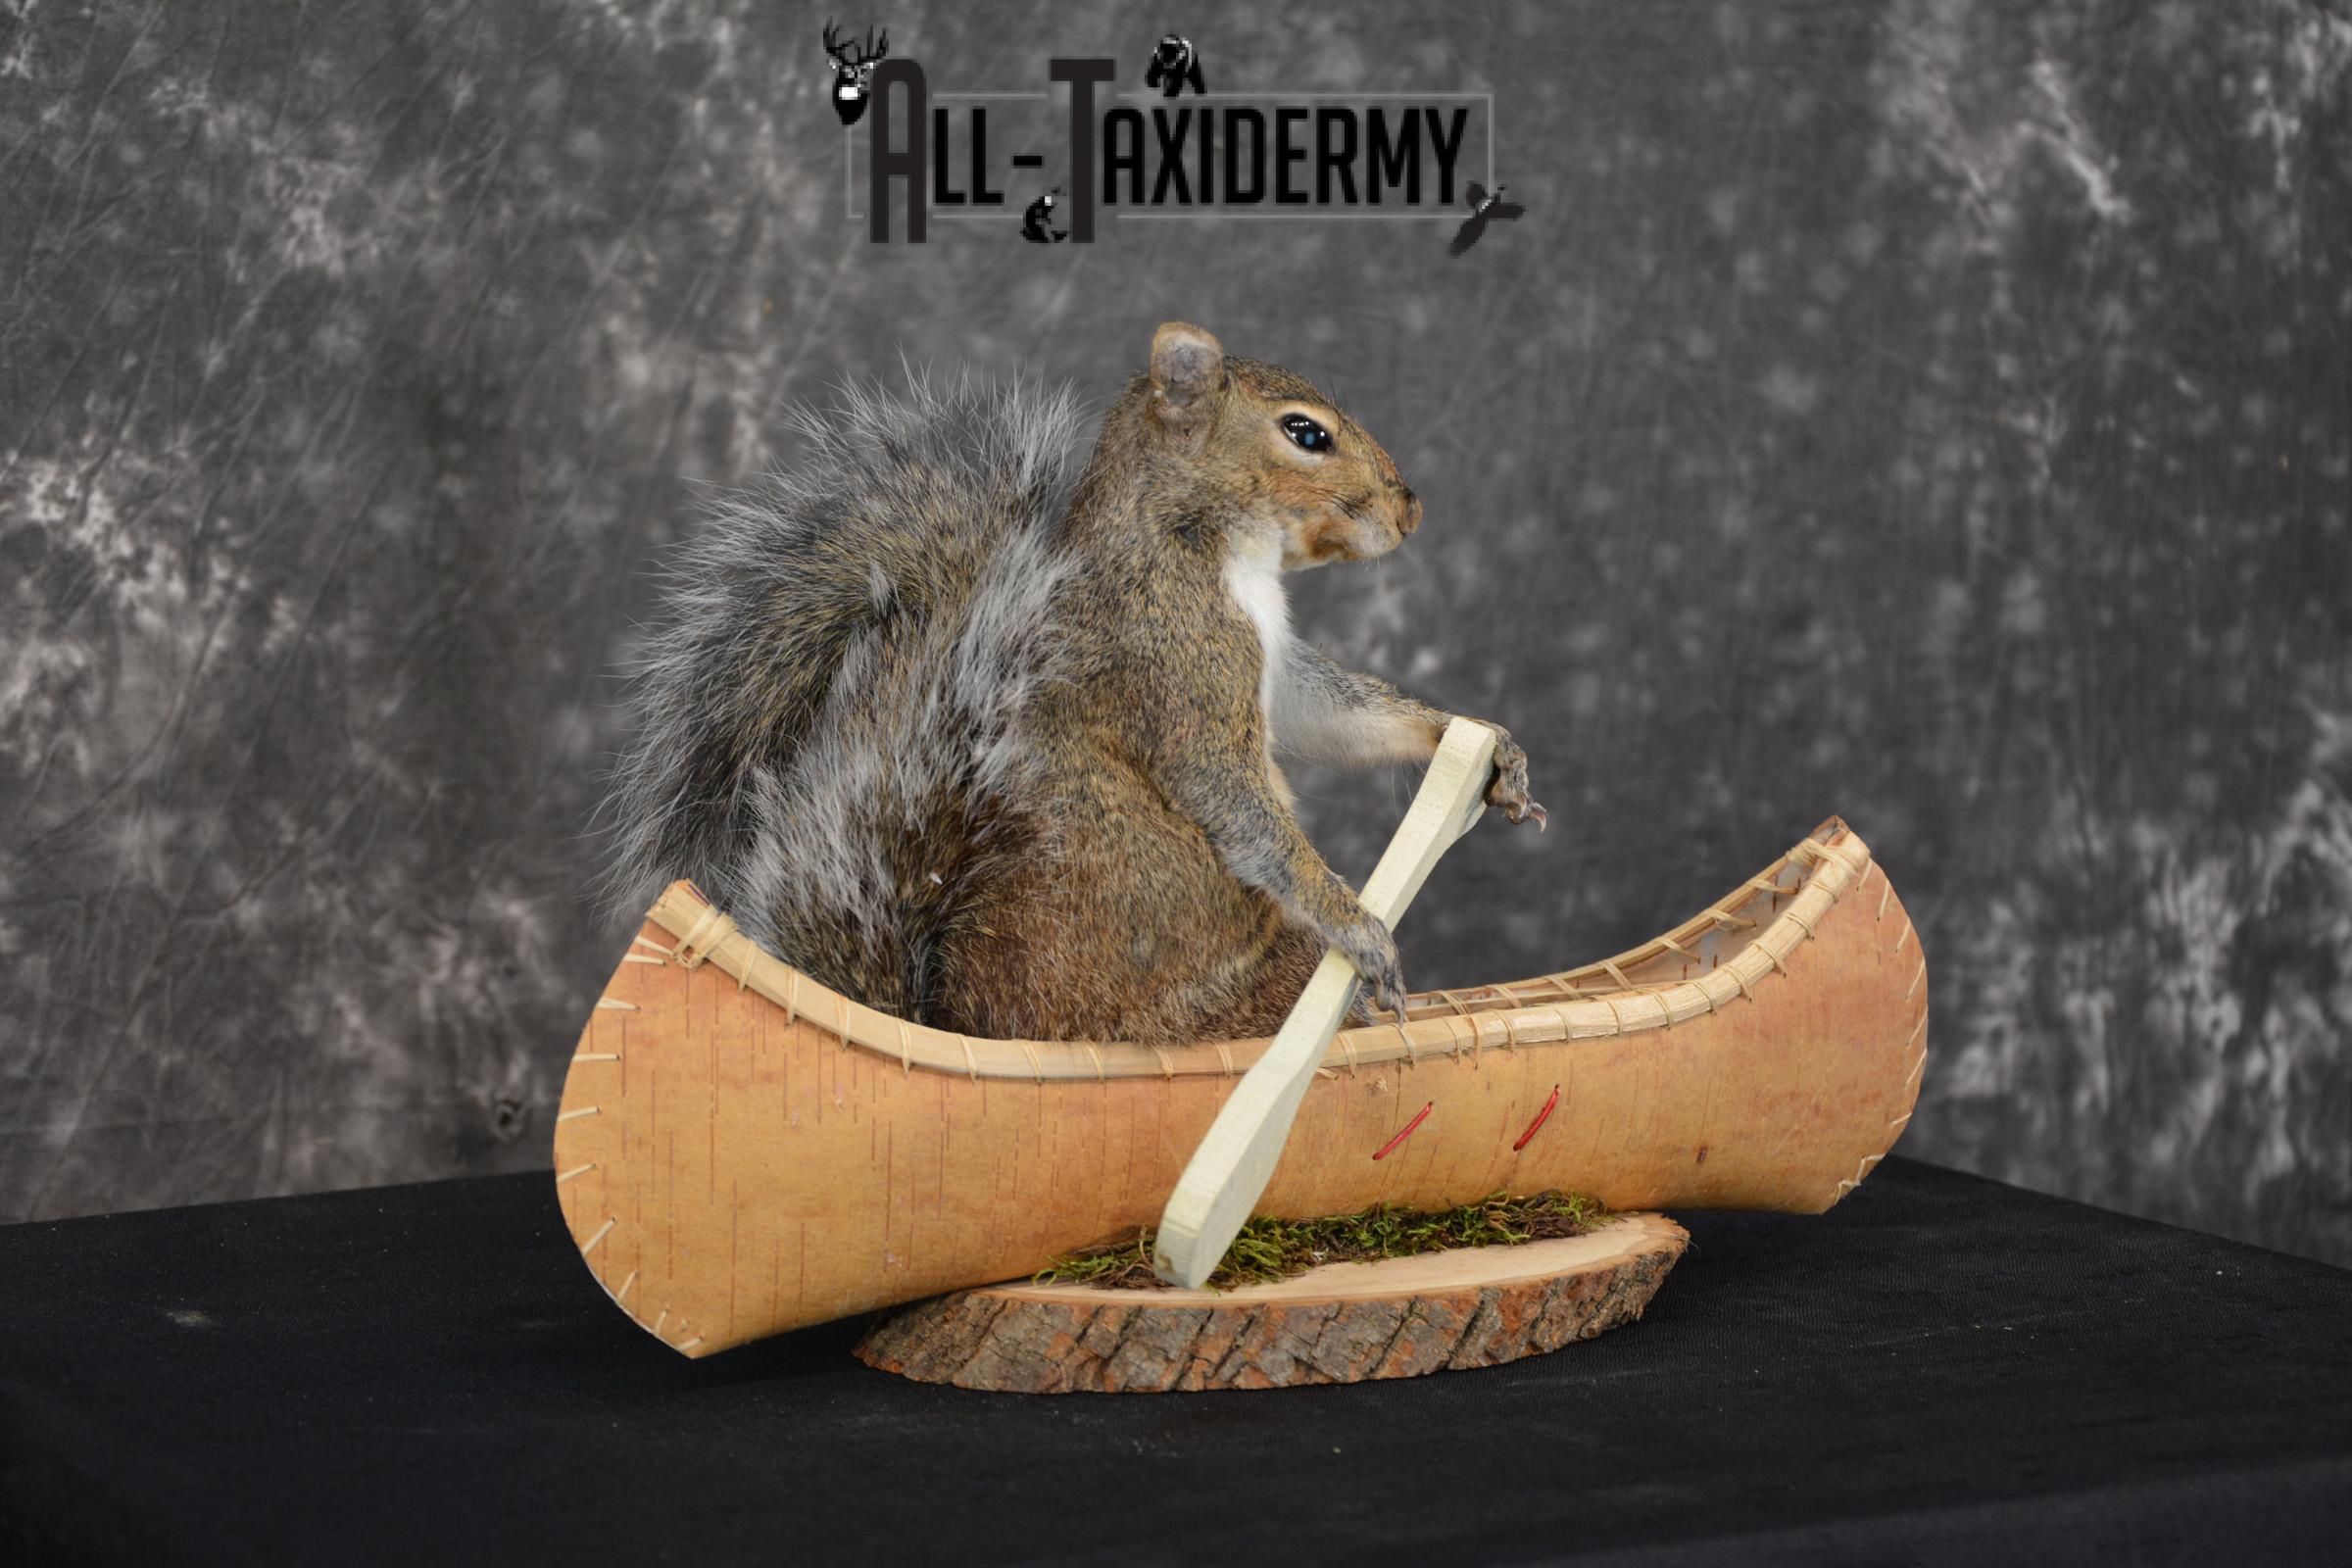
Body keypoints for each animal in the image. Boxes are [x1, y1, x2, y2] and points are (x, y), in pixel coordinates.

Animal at [601, 322, 1541, 1044]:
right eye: (1306, 433)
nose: (1410, 508)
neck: (1208, 544)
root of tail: (970, 1027)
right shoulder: (1177, 657)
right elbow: (1232, 795)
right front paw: (1360, 926)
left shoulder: (1274, 664)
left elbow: (1328, 714)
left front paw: (1475, 743)